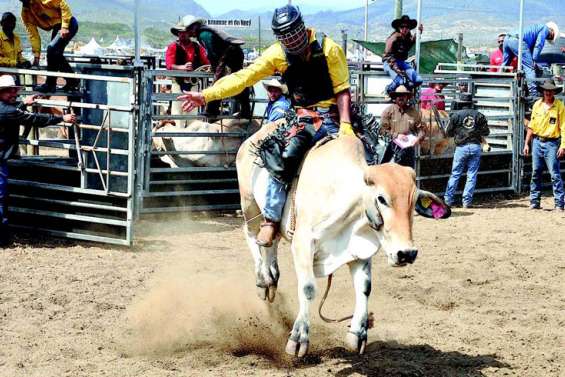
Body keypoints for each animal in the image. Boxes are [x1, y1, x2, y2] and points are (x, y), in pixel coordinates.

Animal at [235, 122, 450, 356]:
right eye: (381, 199)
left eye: (414, 202)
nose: (406, 253)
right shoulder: (302, 243)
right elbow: (308, 288)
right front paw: (298, 338)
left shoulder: (360, 249)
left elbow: (364, 287)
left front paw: (358, 333)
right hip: (249, 204)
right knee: (253, 235)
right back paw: (263, 278)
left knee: (270, 241)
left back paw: (271, 277)